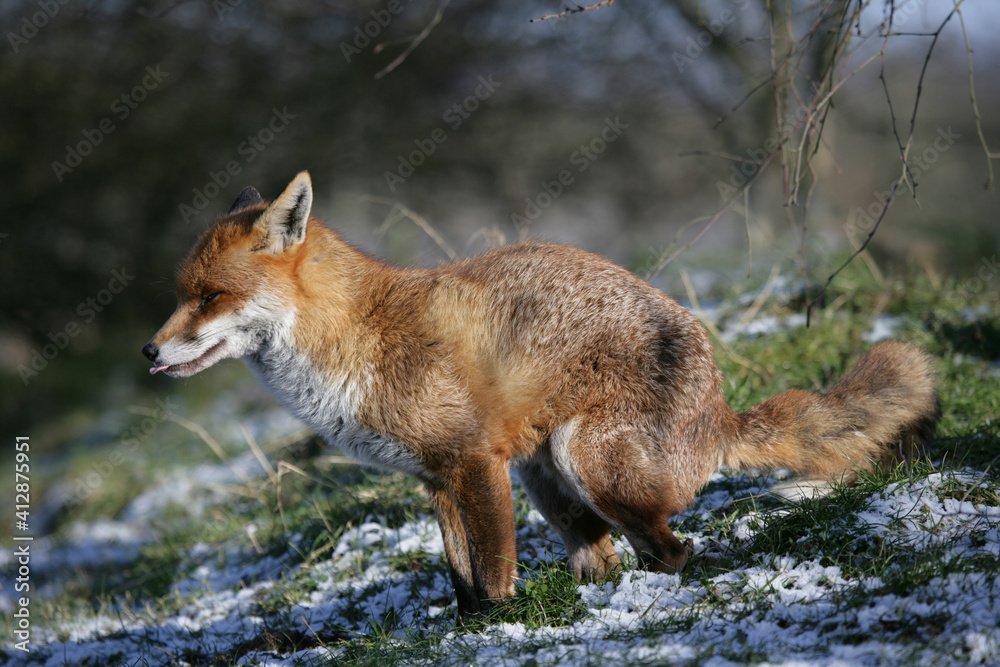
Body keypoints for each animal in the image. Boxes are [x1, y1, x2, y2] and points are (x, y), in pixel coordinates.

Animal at [144, 171, 940, 617]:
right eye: (180, 295)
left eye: (212, 297)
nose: (148, 352)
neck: (357, 343)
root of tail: (719, 409)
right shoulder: (437, 477)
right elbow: (460, 579)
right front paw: (465, 628)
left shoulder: (476, 462)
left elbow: (494, 573)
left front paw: (499, 627)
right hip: (549, 483)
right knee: (612, 559)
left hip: (587, 459)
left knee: (675, 551)